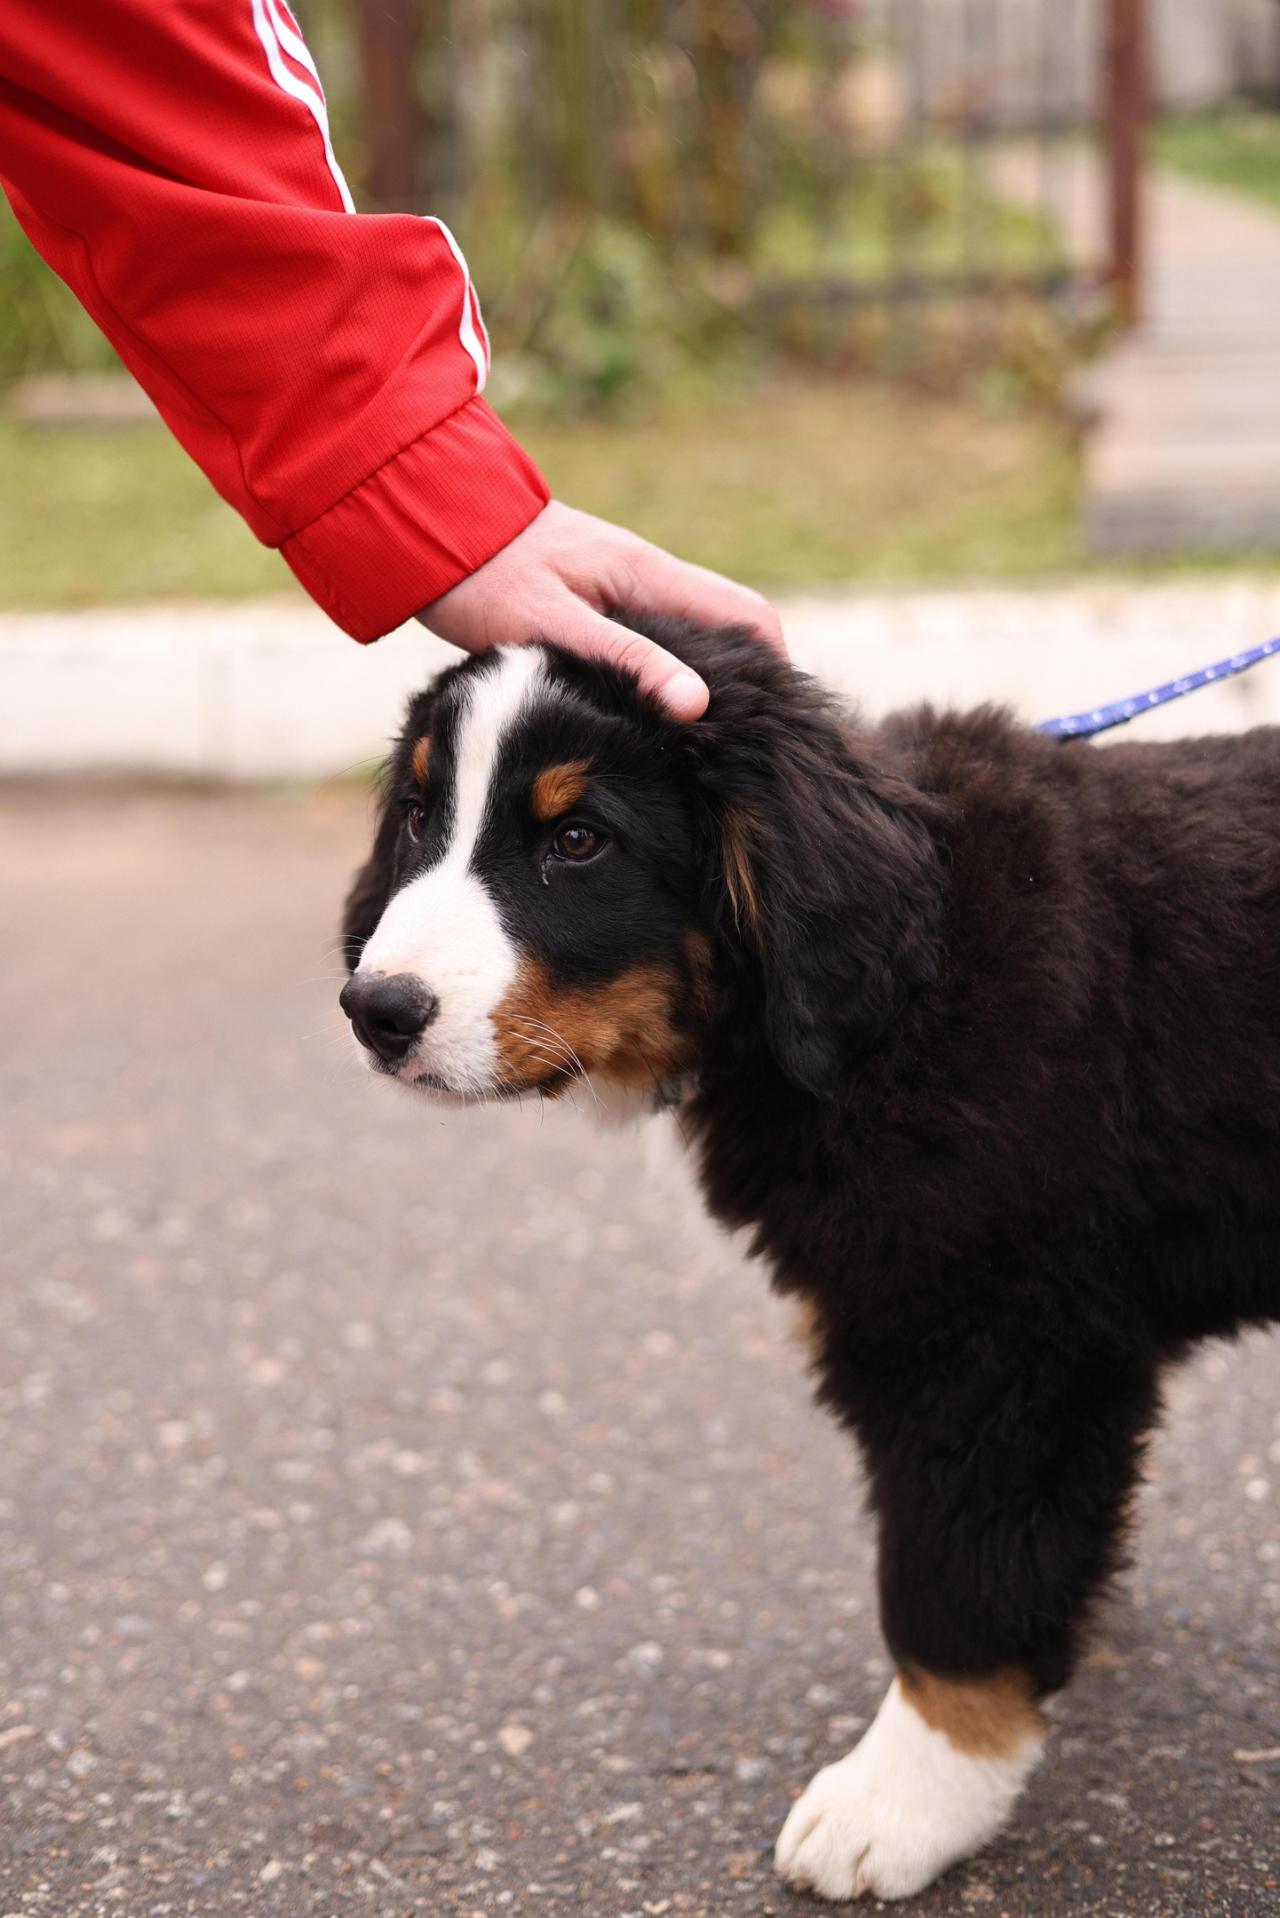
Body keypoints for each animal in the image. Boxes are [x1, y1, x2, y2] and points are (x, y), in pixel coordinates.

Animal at [337, 617, 1280, 1902]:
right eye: (419, 816)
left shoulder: (992, 1337)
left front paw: (904, 1796)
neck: (892, 1004)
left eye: (576, 842)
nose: (375, 1008)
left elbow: (950, 1578)